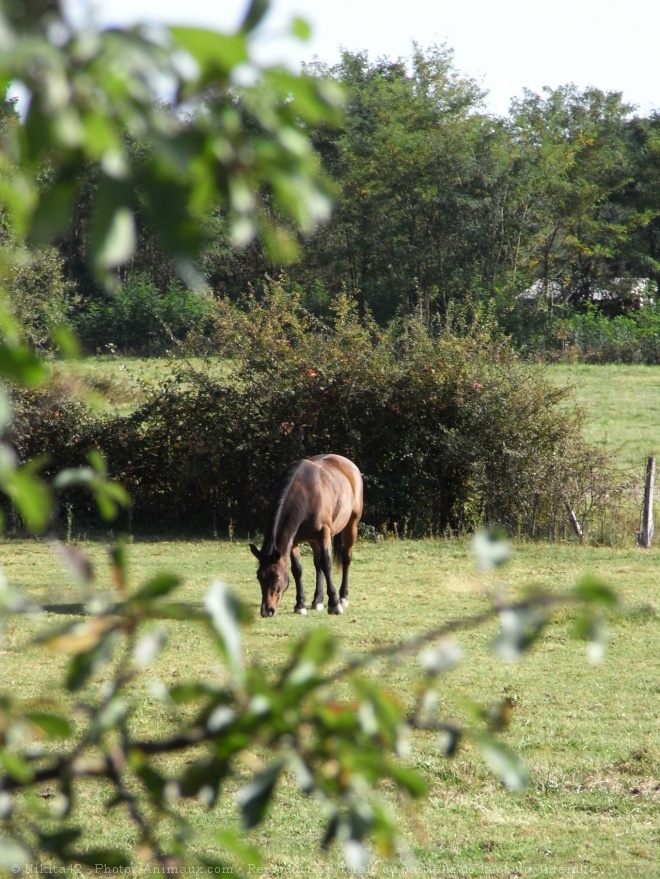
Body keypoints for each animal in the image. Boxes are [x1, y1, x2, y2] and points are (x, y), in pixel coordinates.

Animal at [249, 458, 364, 616]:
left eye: (276, 577)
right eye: (259, 577)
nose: (267, 611)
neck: (306, 493)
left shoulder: (324, 534)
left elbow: (326, 564)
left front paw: (334, 604)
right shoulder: (294, 539)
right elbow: (297, 569)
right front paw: (300, 604)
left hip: (351, 526)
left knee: (345, 558)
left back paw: (343, 597)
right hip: (313, 539)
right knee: (317, 563)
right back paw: (318, 600)